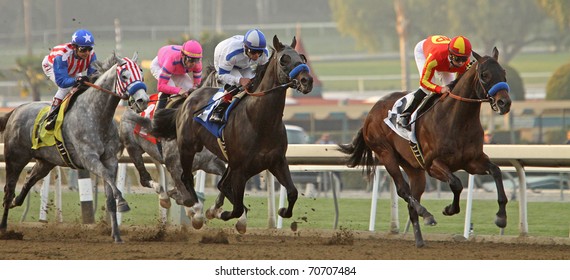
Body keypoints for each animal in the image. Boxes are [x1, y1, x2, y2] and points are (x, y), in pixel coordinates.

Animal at [0, 53, 149, 243]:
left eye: (141, 72)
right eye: (124, 76)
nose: (142, 101)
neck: (96, 115)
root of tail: (16, 109)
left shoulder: (110, 159)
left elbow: (109, 194)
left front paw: (116, 234)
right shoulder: (89, 158)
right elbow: (107, 176)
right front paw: (123, 203)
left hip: (46, 162)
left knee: (29, 178)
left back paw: (16, 202)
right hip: (15, 158)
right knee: (9, 190)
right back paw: (4, 229)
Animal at [150, 35, 310, 232]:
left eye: (302, 58)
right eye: (284, 60)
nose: (307, 81)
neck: (260, 120)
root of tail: (188, 98)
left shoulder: (276, 161)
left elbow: (293, 192)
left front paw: (283, 211)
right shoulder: (240, 168)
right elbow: (237, 207)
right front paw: (222, 214)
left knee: (221, 184)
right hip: (188, 148)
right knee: (186, 178)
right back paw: (196, 211)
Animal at [338, 47, 510, 247]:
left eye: (504, 73)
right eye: (484, 75)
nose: (504, 103)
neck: (457, 120)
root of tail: (370, 113)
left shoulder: (472, 162)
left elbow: (496, 171)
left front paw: (501, 217)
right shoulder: (433, 165)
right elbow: (456, 183)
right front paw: (449, 209)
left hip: (413, 167)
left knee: (412, 201)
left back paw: (420, 240)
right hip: (385, 153)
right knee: (403, 190)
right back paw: (426, 214)